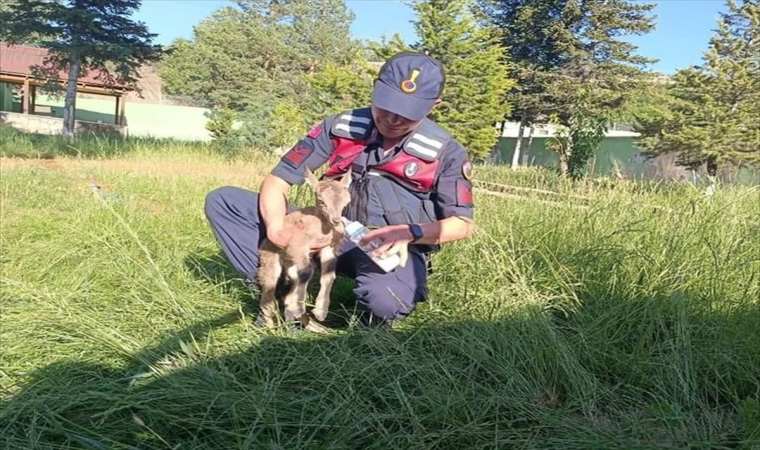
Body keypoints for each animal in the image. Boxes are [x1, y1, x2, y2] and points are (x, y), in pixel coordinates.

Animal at [255, 167, 350, 332]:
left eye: (346, 202)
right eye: (321, 201)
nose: (336, 220)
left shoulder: (329, 247)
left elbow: (328, 275)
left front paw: (320, 311)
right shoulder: (297, 243)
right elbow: (306, 270)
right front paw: (300, 308)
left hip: (291, 265)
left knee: (288, 291)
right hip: (270, 258)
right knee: (268, 294)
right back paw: (271, 328)